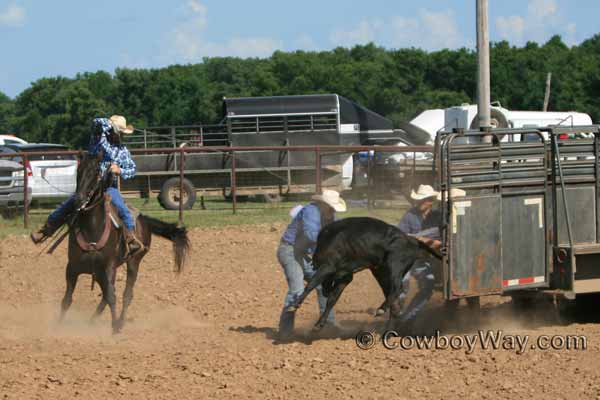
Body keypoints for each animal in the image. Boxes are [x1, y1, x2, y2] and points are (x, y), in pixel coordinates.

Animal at [58, 152, 190, 332]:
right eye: (78, 171)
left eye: (96, 172)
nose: (79, 199)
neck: (92, 230)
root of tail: (144, 220)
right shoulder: (72, 267)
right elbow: (67, 299)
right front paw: (56, 327)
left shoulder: (108, 267)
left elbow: (112, 297)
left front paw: (114, 328)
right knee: (107, 295)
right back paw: (93, 322)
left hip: (133, 262)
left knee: (125, 294)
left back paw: (119, 322)